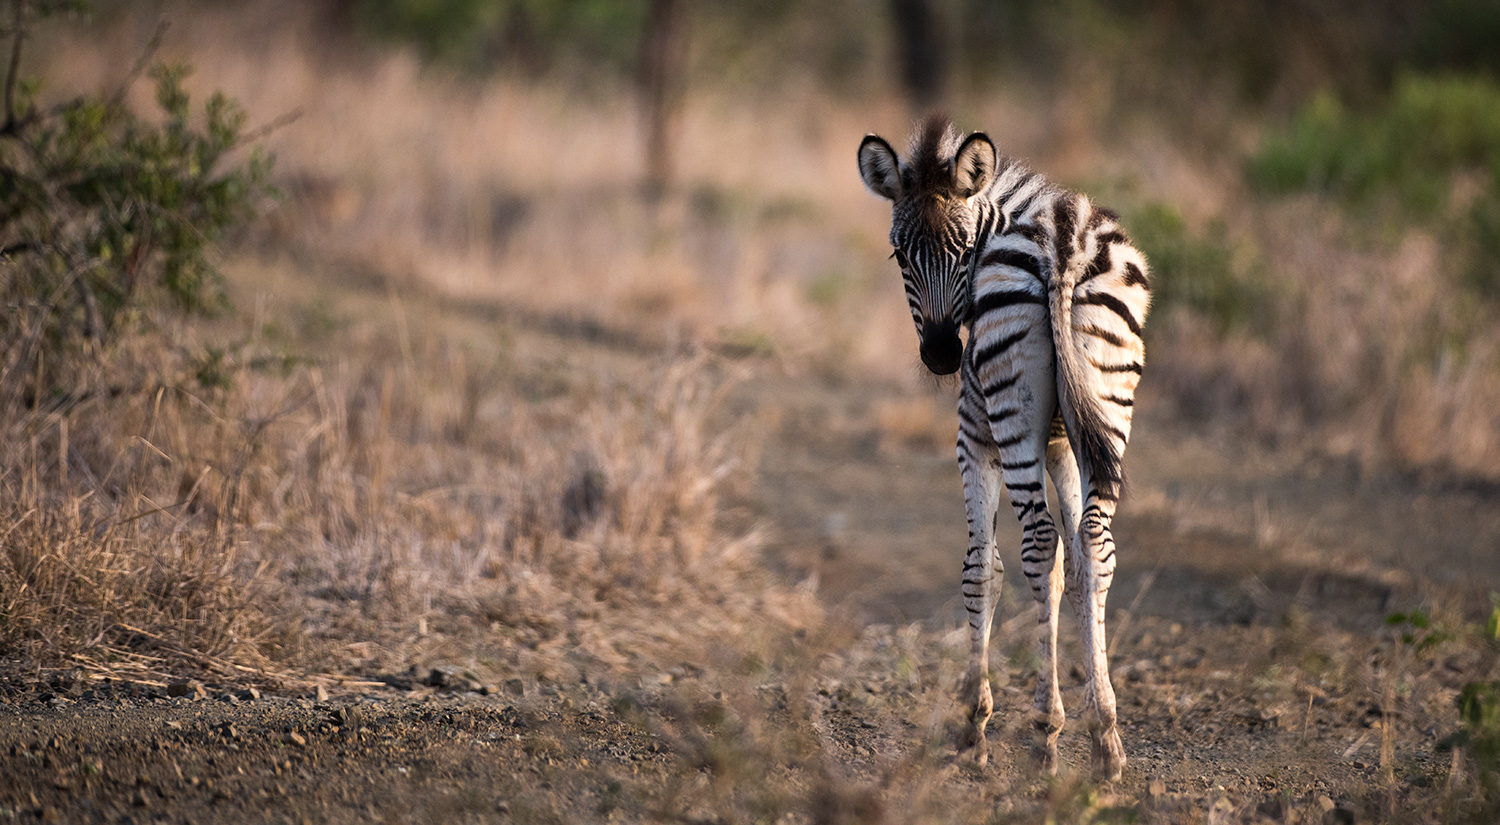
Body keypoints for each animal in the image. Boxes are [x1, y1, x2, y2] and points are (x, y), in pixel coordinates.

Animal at [857, 116, 1150, 780]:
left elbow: (981, 568)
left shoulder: (974, 441)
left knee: (1038, 542)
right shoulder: (1065, 443)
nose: (944, 355)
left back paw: (1044, 732)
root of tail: (1064, 244)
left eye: (966, 252)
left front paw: (975, 722)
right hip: (1109, 405)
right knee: (1096, 541)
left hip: (1008, 421)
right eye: (899, 255)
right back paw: (1106, 739)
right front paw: (1095, 717)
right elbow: (1078, 563)